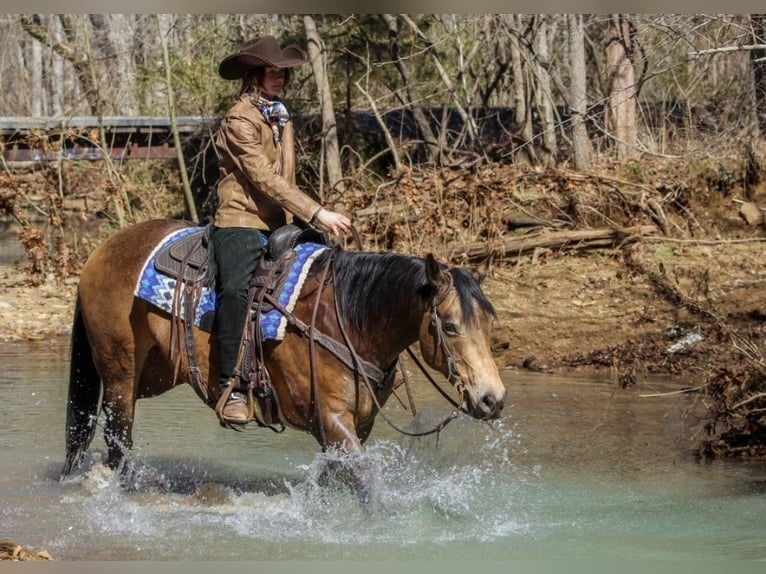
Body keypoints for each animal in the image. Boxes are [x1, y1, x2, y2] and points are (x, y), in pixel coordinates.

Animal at [61, 218, 506, 495]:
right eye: (450, 326)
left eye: (489, 322)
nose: (493, 399)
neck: (348, 317)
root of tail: (102, 250)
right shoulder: (331, 420)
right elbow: (367, 484)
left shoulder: (352, 428)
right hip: (119, 376)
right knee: (118, 443)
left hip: (152, 375)